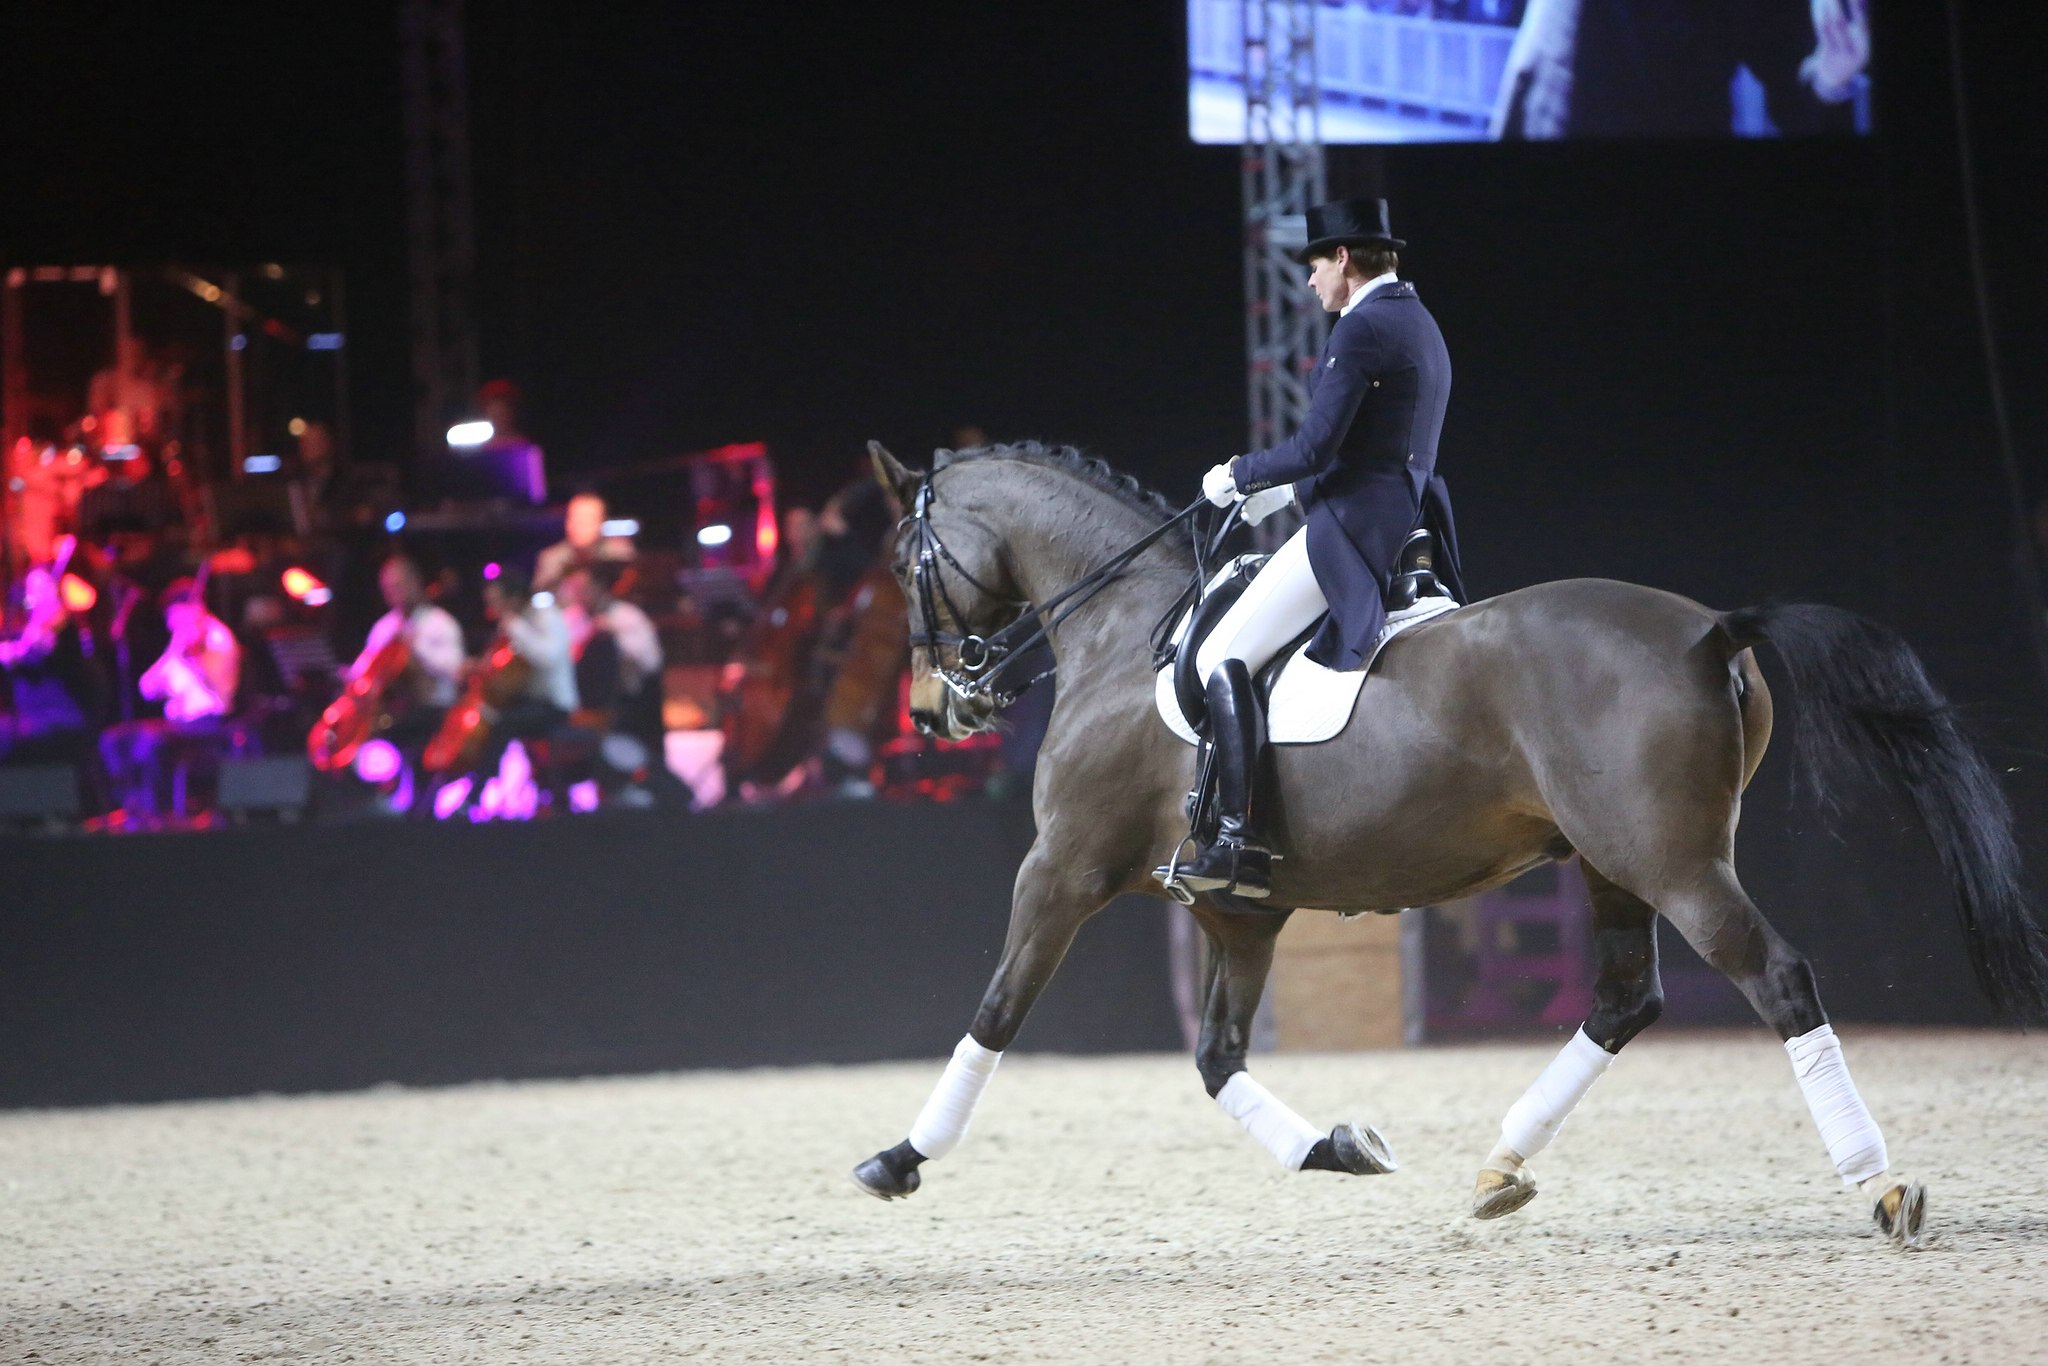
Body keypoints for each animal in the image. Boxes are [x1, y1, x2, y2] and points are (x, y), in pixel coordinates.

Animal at [850, 439, 2048, 1247]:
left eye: (904, 558)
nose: (934, 709)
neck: (1121, 630)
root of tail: (1709, 628)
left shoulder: (1060, 869)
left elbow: (996, 1013)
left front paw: (902, 1157)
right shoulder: (1236, 911)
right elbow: (1215, 1058)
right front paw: (1338, 1148)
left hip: (1671, 862)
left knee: (1779, 978)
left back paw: (1877, 1183)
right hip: (1611, 864)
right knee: (1624, 1001)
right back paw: (1497, 1168)